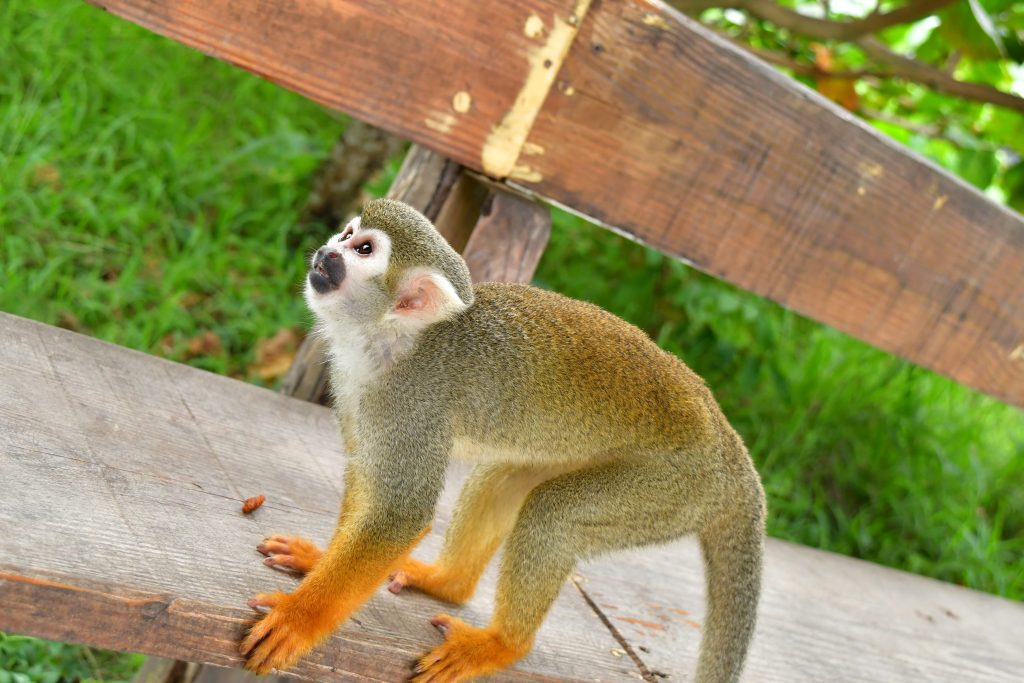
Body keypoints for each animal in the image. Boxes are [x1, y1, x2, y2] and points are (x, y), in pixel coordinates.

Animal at [240, 198, 766, 683]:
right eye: (349, 233)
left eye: (363, 249)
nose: (327, 250)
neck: (395, 340)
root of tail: (733, 454)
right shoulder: (357, 386)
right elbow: (367, 482)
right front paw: (319, 562)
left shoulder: (413, 404)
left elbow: (399, 515)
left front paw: (299, 619)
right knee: (503, 477)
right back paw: (447, 583)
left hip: (673, 489)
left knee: (554, 513)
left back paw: (501, 644)